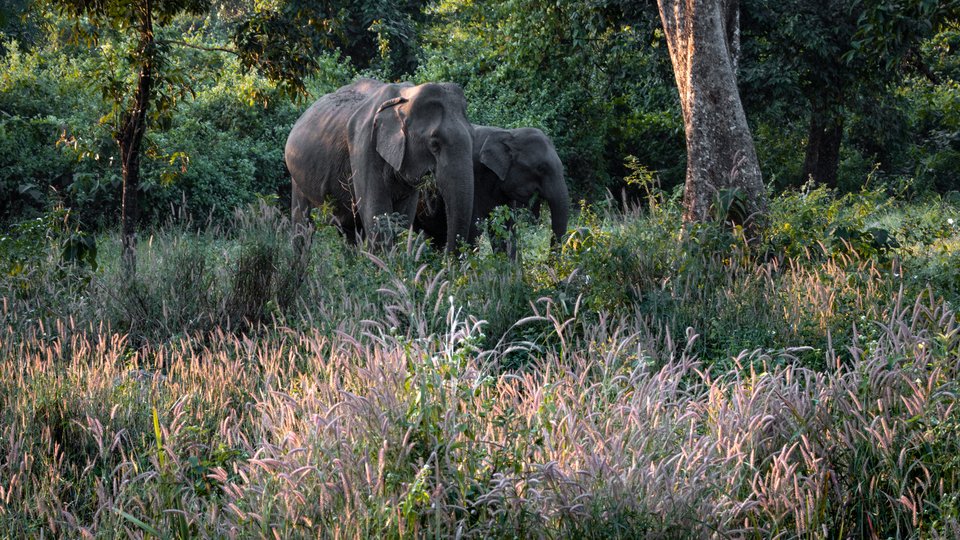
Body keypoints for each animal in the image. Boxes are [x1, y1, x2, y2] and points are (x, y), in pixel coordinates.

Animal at [284, 78, 475, 251]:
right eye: (434, 144)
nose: (446, 257)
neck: (405, 99)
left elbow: (403, 215)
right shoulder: (364, 145)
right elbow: (376, 213)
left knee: (348, 229)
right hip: (296, 173)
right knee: (303, 224)